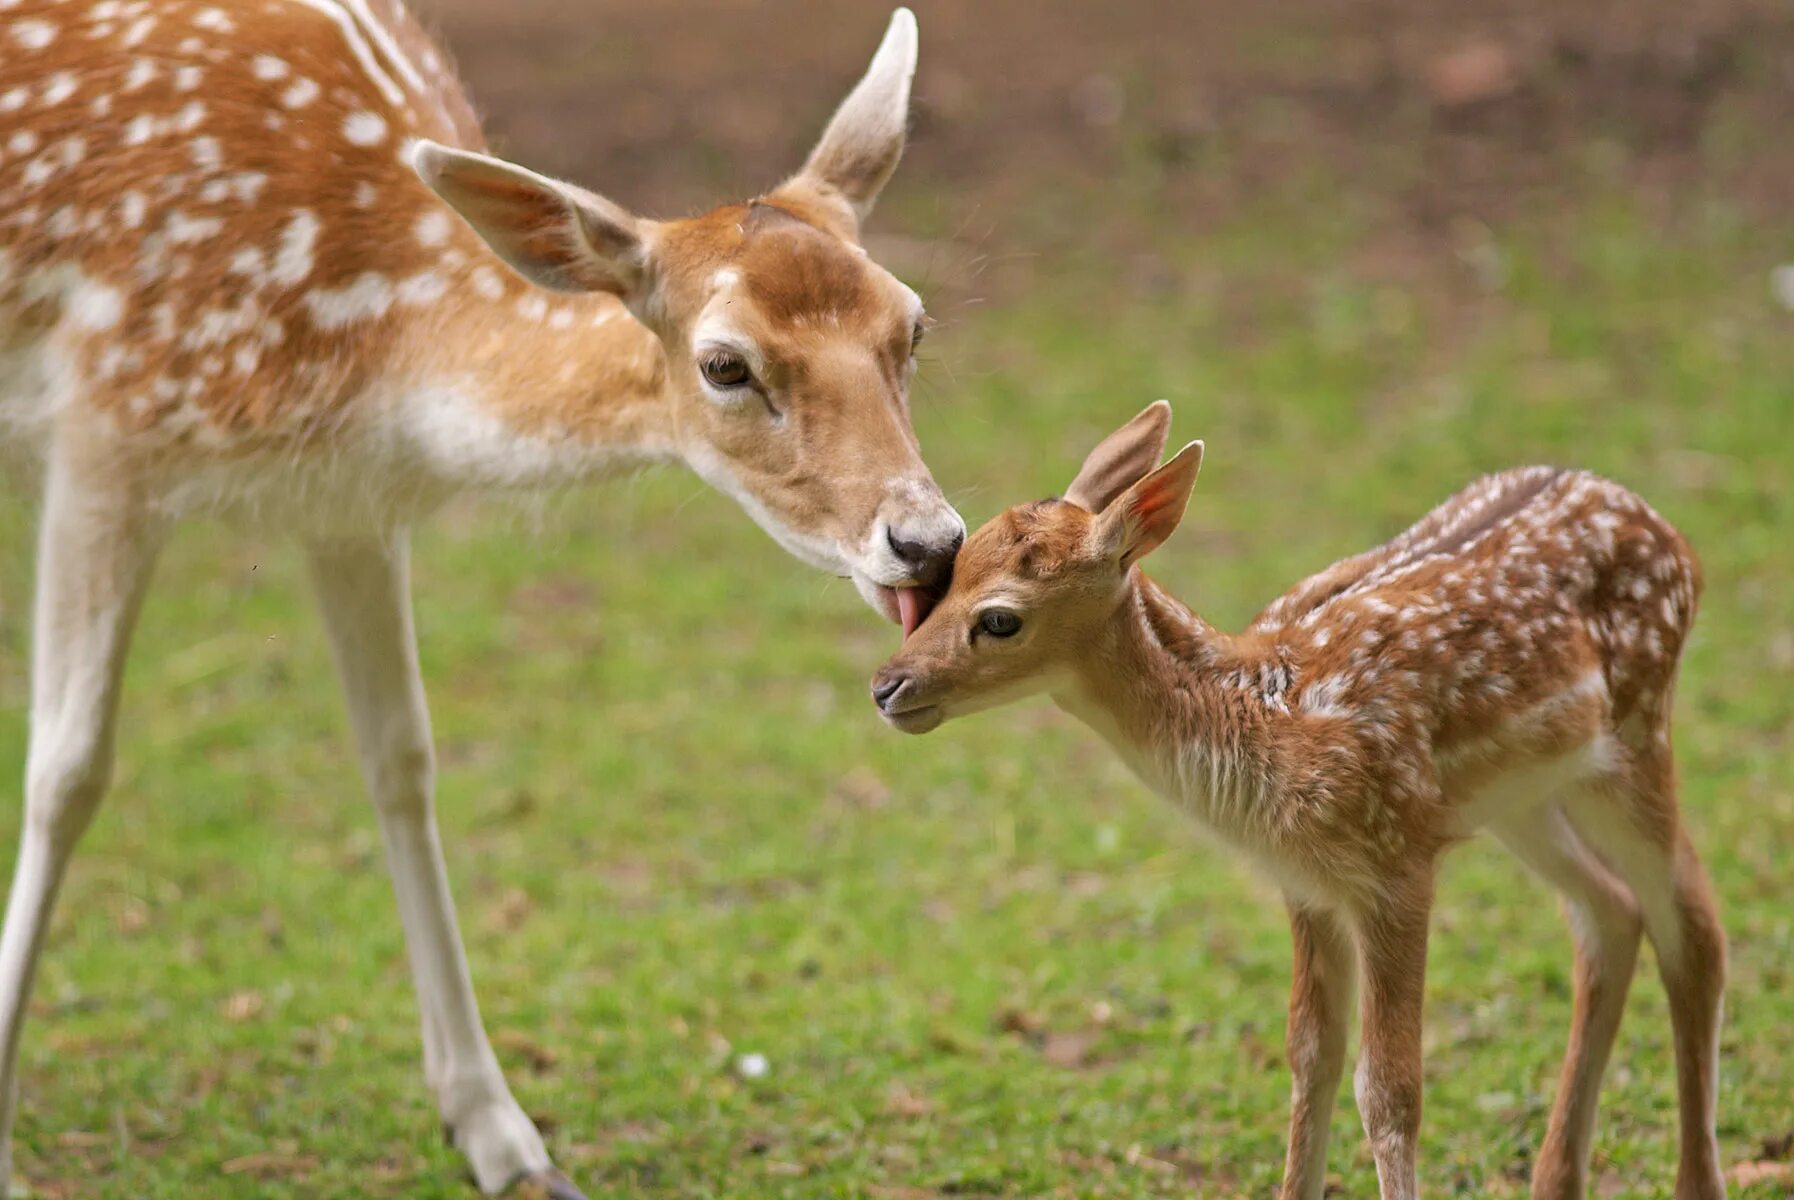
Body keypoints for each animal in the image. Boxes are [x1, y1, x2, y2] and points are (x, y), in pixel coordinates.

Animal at [0, 4, 968, 1191]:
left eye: (912, 324)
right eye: (726, 365)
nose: (928, 540)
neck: (363, 346)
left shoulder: (348, 499)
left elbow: (401, 760)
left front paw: (500, 1132)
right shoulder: (106, 424)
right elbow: (66, 770)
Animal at [875, 405, 1729, 1198]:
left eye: (1000, 617)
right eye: (944, 577)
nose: (887, 685)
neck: (1269, 727)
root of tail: (1674, 536)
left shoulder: (1396, 861)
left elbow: (1390, 1090)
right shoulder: (1307, 885)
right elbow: (1310, 1058)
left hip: (1637, 731)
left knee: (1693, 925)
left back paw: (1695, 1179)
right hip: (1527, 795)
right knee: (1610, 911)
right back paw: (1557, 1178)